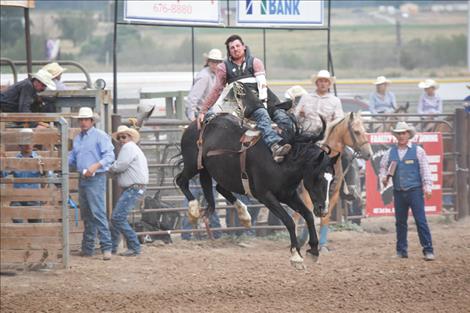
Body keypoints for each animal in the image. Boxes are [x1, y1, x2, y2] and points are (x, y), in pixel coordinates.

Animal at [300, 111, 372, 249]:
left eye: (364, 130)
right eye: (356, 132)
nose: (369, 153)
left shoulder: (333, 195)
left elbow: (325, 218)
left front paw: (322, 245)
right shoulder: (307, 194)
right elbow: (310, 213)